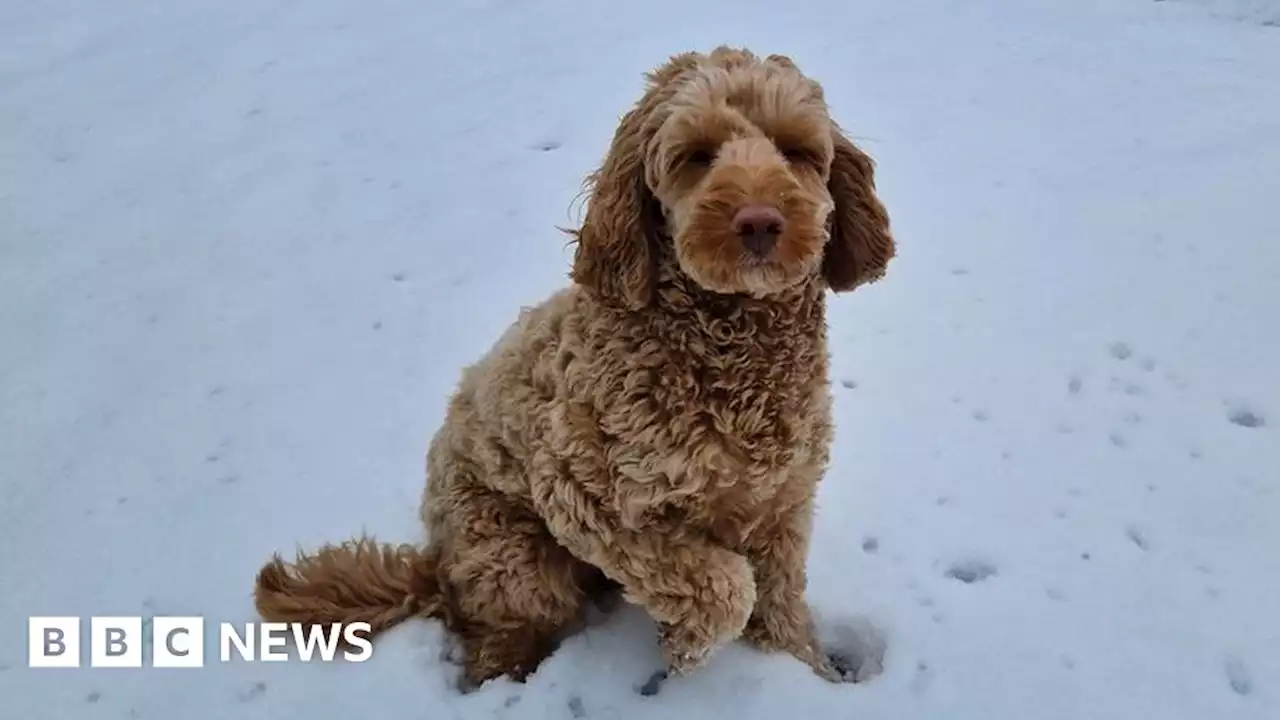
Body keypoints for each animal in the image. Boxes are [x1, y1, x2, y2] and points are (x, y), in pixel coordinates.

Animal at [254, 46, 896, 691]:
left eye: (796, 150)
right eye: (695, 156)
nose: (760, 221)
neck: (730, 349)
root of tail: (437, 562)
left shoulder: (781, 504)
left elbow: (779, 600)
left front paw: (802, 668)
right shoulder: (586, 498)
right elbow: (724, 588)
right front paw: (687, 647)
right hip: (513, 557)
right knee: (497, 638)